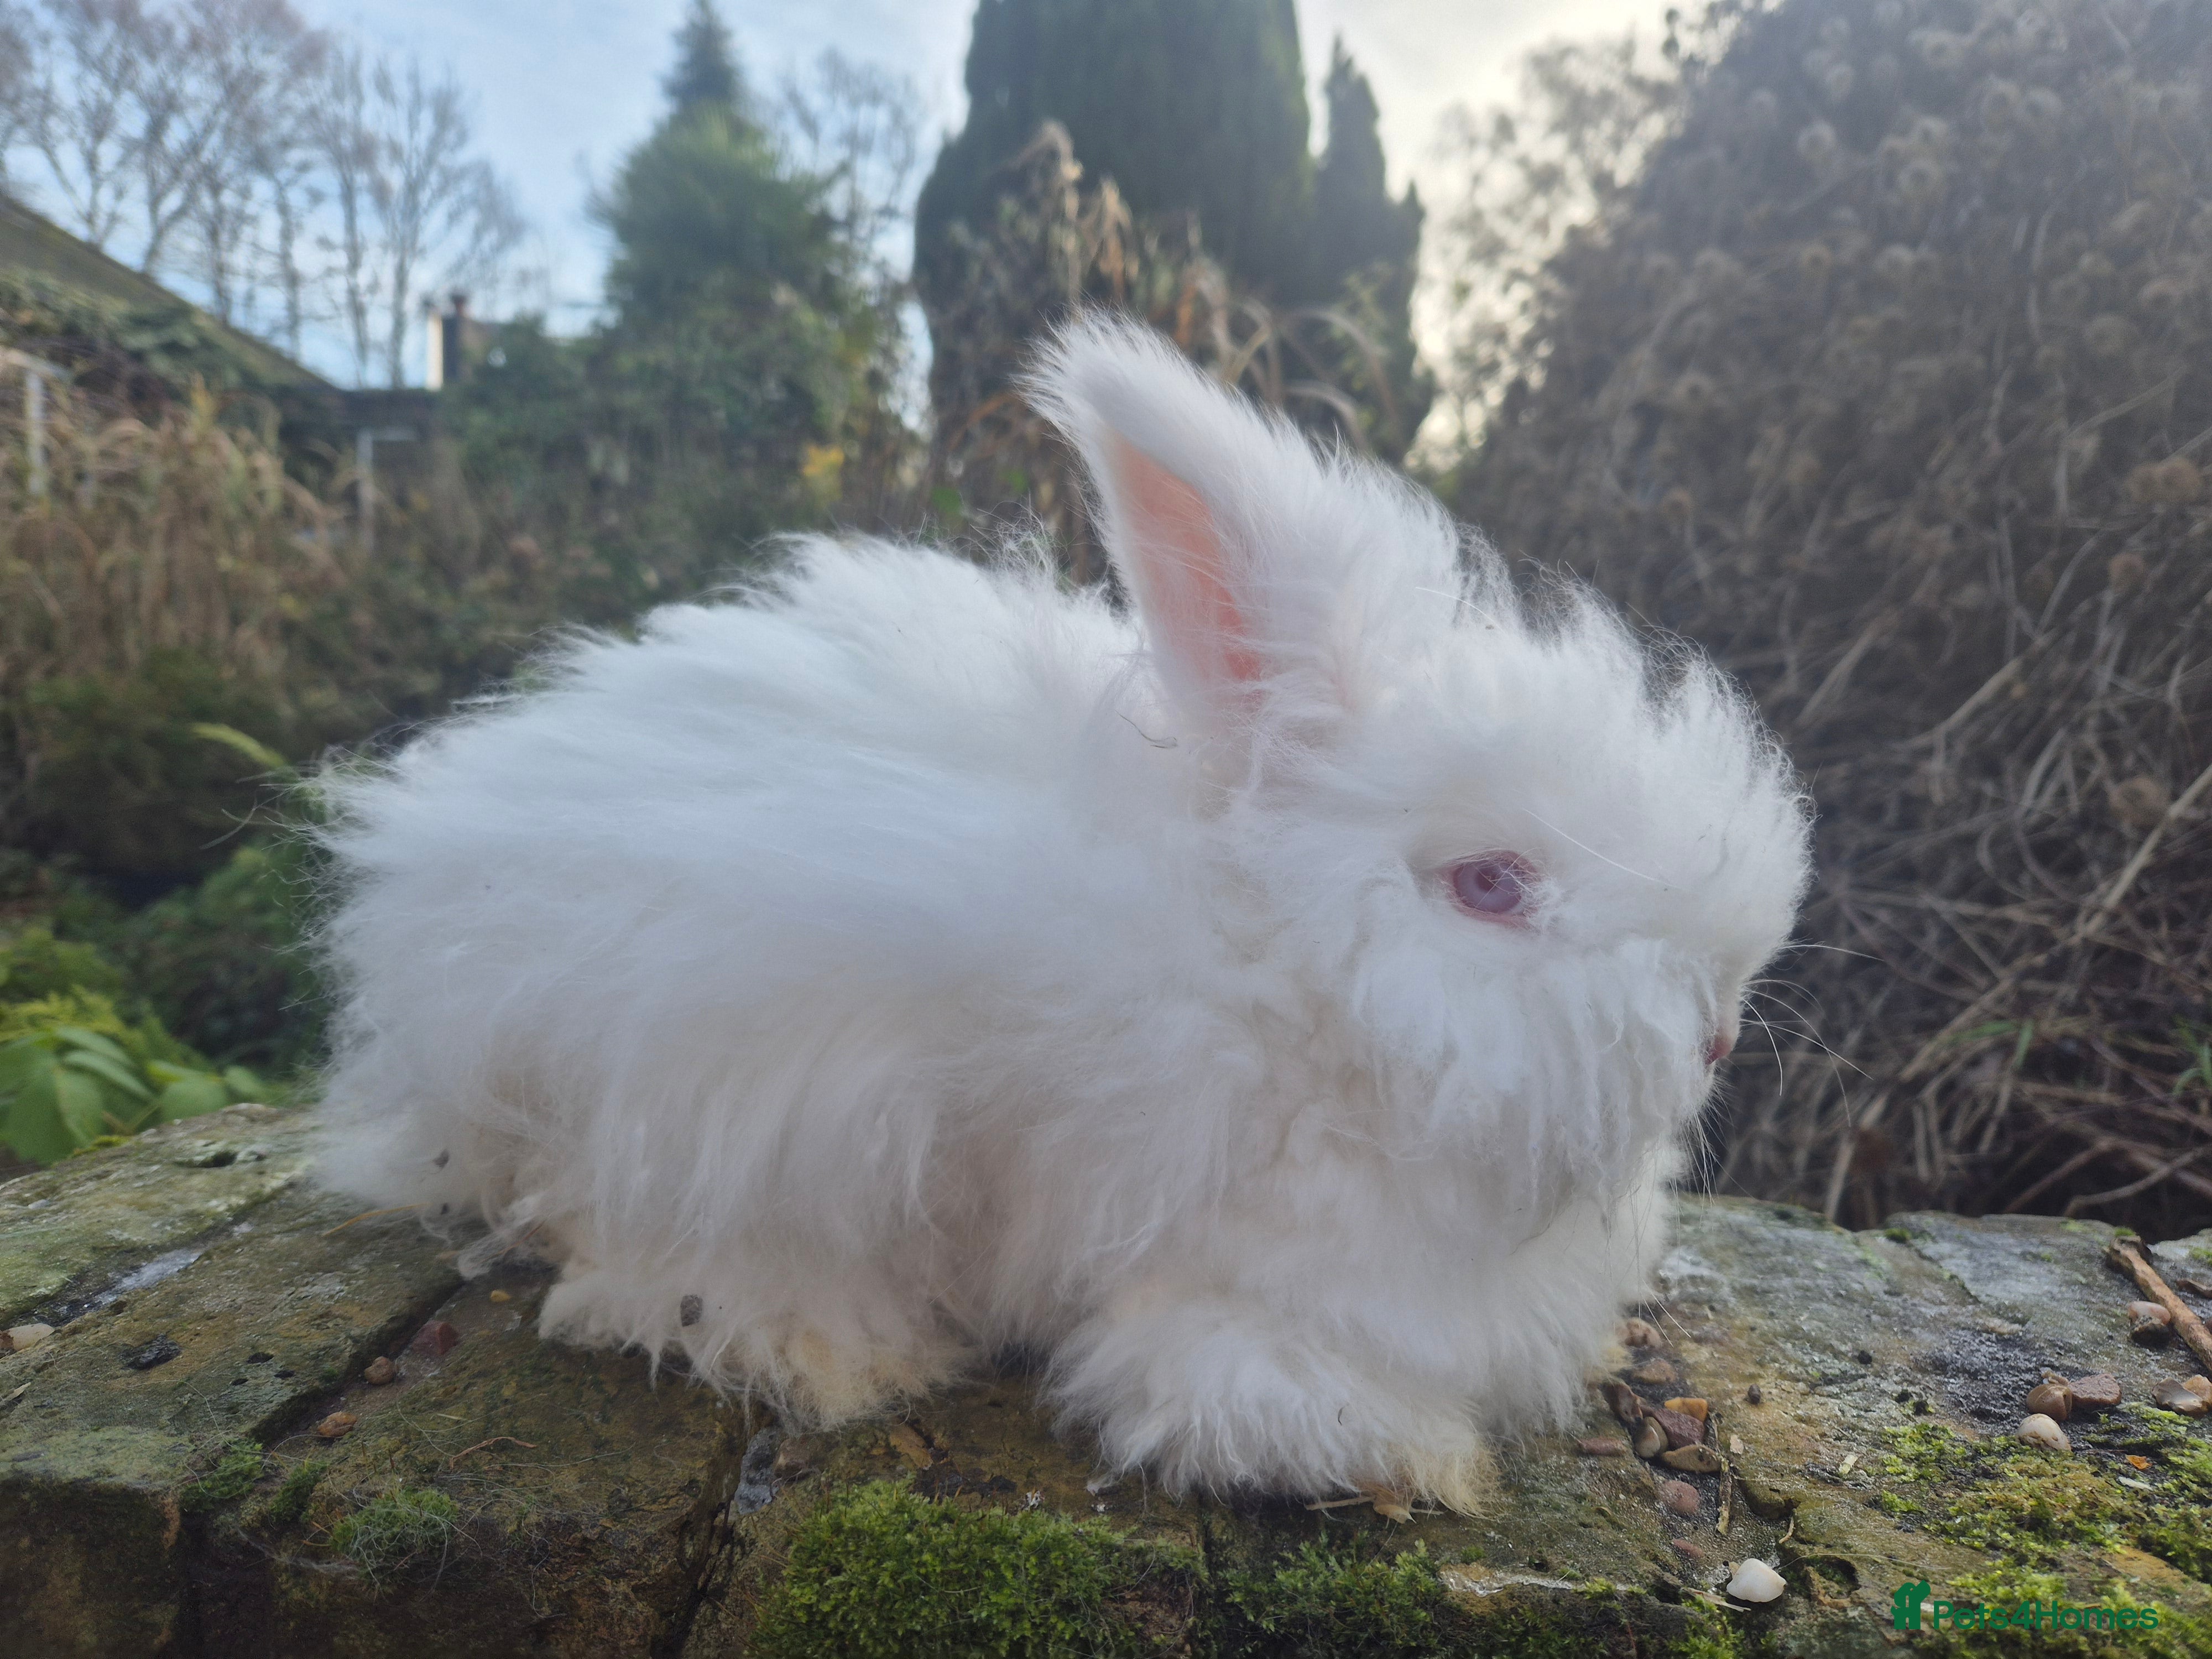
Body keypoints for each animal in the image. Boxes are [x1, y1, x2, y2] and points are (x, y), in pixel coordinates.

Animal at [315, 317, 1811, 1510]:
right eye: (1490, 884)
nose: (1719, 1032)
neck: (1282, 984)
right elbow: (1222, 1375)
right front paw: (1403, 1454)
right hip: (717, 1087)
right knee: (641, 1275)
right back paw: (826, 1347)